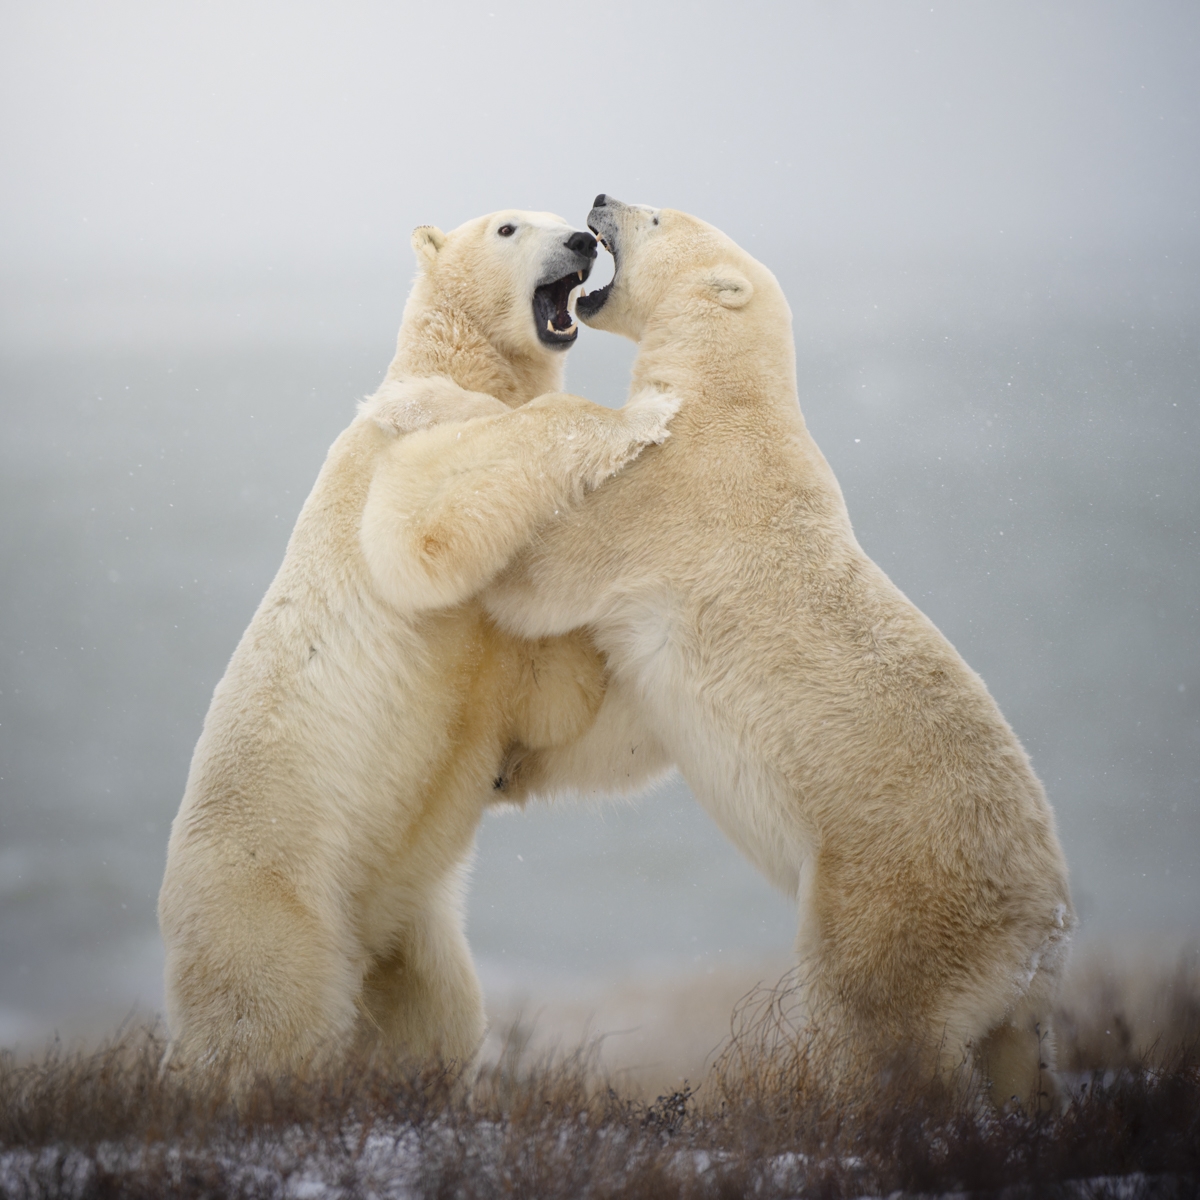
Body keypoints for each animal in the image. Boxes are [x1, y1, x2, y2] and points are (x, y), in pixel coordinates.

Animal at [157, 208, 679, 1092]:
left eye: (560, 215)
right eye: (508, 225)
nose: (580, 239)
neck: (460, 364)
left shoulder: (500, 657)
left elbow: (562, 717)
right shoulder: (407, 437)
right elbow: (423, 525)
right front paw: (643, 414)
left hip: (411, 926)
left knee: (435, 1015)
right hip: (270, 897)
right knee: (265, 1021)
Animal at [393, 195, 1075, 1110]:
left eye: (654, 215)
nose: (599, 201)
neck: (728, 394)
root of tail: (1041, 926)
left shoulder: (670, 488)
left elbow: (549, 573)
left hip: (888, 893)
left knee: (876, 1020)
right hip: (1016, 995)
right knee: (1015, 1055)